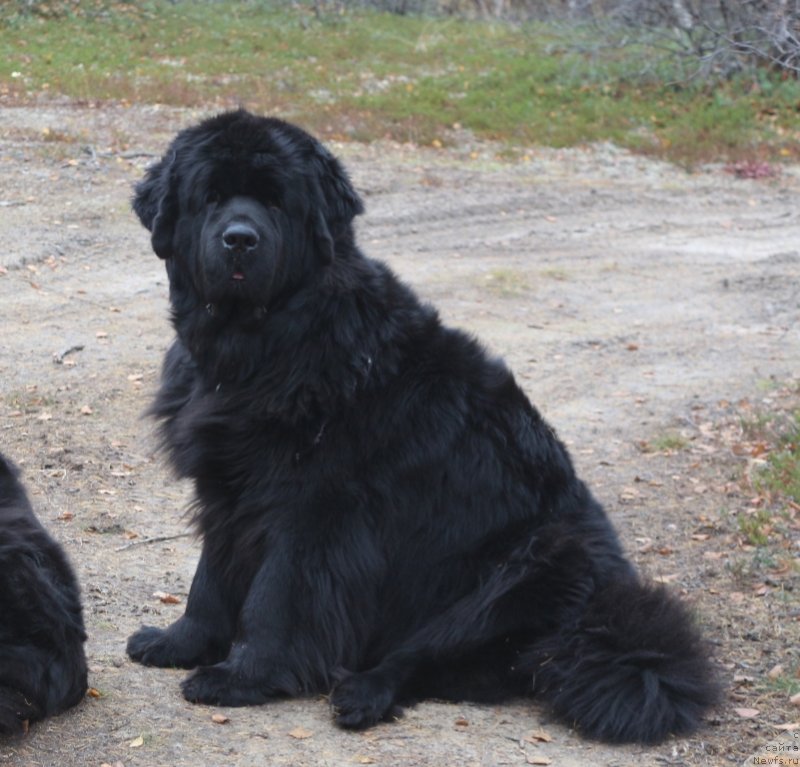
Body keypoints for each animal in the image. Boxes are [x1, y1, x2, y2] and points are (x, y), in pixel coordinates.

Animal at [126, 109, 720, 744]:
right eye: (210, 198)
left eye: (277, 202)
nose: (240, 238)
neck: (264, 347)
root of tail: (604, 608)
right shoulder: (227, 485)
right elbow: (210, 579)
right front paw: (180, 642)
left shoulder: (313, 507)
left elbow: (274, 598)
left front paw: (242, 676)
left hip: (528, 566)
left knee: (422, 656)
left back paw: (361, 694)